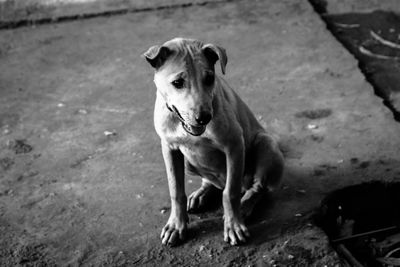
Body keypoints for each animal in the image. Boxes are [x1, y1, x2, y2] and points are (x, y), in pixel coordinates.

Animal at [144, 37, 284, 247]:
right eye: (177, 83)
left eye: (210, 78)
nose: (204, 118)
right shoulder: (169, 148)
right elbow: (176, 191)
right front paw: (176, 225)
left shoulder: (234, 145)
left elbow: (230, 193)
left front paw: (233, 225)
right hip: (189, 162)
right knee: (211, 181)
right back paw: (202, 193)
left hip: (266, 146)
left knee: (256, 187)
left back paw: (245, 205)